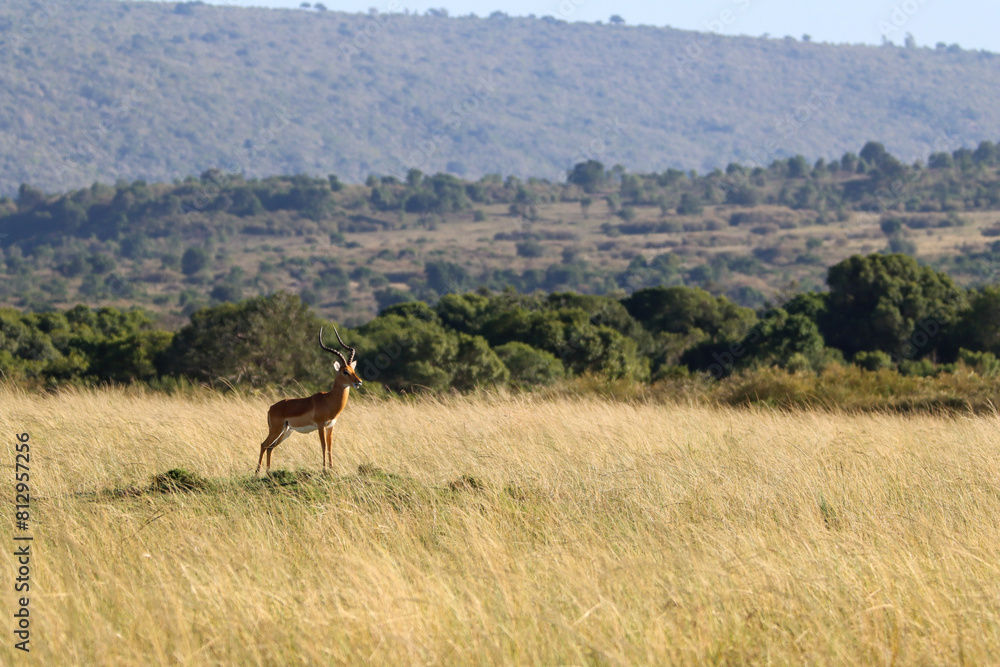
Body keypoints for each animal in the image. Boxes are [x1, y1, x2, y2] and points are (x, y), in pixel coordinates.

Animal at [255, 326, 363, 474]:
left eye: (353, 369)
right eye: (345, 371)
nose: (359, 382)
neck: (328, 400)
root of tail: (271, 408)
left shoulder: (331, 426)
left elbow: (330, 447)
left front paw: (331, 468)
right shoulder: (321, 426)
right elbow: (323, 446)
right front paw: (324, 469)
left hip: (286, 431)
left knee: (270, 447)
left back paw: (268, 471)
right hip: (276, 430)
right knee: (263, 445)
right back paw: (257, 473)